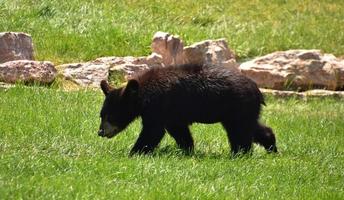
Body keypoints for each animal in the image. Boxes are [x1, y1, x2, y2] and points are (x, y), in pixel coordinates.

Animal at [97, 64, 276, 156]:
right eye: (101, 115)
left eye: (110, 115)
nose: (100, 132)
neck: (142, 94)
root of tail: (257, 90)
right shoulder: (172, 114)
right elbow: (179, 130)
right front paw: (187, 150)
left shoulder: (159, 105)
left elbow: (153, 131)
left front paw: (134, 153)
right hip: (241, 111)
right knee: (254, 128)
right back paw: (271, 148)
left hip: (237, 107)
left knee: (240, 132)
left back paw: (239, 154)